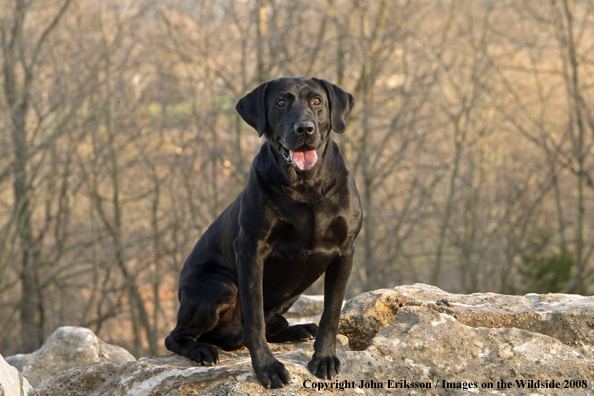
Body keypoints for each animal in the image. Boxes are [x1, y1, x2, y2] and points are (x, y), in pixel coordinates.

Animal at [165, 76, 360, 388]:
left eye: (317, 101)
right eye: (280, 103)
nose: (304, 128)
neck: (306, 186)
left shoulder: (345, 250)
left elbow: (331, 312)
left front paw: (324, 358)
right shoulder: (251, 249)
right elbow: (254, 317)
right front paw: (267, 367)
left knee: (274, 325)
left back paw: (300, 329)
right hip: (220, 285)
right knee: (175, 336)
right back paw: (202, 350)